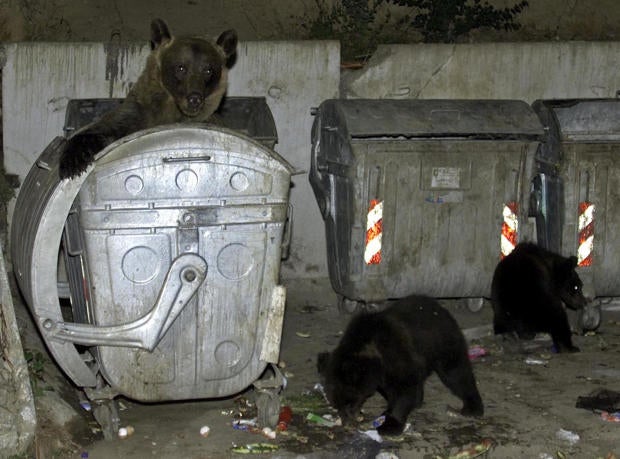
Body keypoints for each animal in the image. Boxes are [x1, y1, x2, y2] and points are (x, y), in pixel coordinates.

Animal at [58, 18, 237, 180]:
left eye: (208, 70)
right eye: (181, 67)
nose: (194, 98)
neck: (171, 110)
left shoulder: (209, 121)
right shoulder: (136, 114)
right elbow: (103, 128)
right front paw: (72, 162)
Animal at [320, 296, 484, 436]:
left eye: (348, 402)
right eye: (336, 404)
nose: (347, 423)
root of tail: (440, 307)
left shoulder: (395, 355)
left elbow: (404, 388)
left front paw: (390, 425)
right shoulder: (382, 372)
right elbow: (392, 390)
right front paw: (388, 411)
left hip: (443, 343)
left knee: (456, 373)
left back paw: (473, 407)